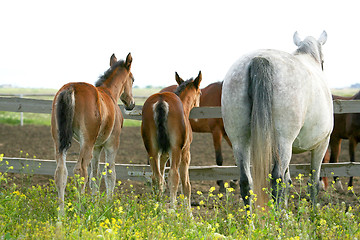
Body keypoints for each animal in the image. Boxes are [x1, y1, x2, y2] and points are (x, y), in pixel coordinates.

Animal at [50, 52, 135, 214]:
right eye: (133, 79)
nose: (131, 104)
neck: (110, 94)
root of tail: (71, 88)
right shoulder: (112, 143)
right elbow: (110, 174)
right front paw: (108, 205)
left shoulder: (96, 147)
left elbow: (95, 175)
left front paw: (95, 205)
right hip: (86, 141)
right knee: (80, 170)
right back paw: (79, 211)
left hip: (59, 140)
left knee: (61, 172)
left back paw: (61, 214)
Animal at [141, 71, 202, 208]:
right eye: (200, 93)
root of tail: (161, 101)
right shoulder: (185, 153)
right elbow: (186, 184)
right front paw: (188, 212)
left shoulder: (163, 155)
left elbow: (161, 177)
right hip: (175, 150)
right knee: (174, 176)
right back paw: (172, 210)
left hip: (152, 150)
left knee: (156, 177)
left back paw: (157, 208)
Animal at [221, 31, 334, 208]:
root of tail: (259, 59)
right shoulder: (321, 144)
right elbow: (313, 183)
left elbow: (288, 182)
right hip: (283, 142)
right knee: (276, 178)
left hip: (239, 140)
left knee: (246, 180)